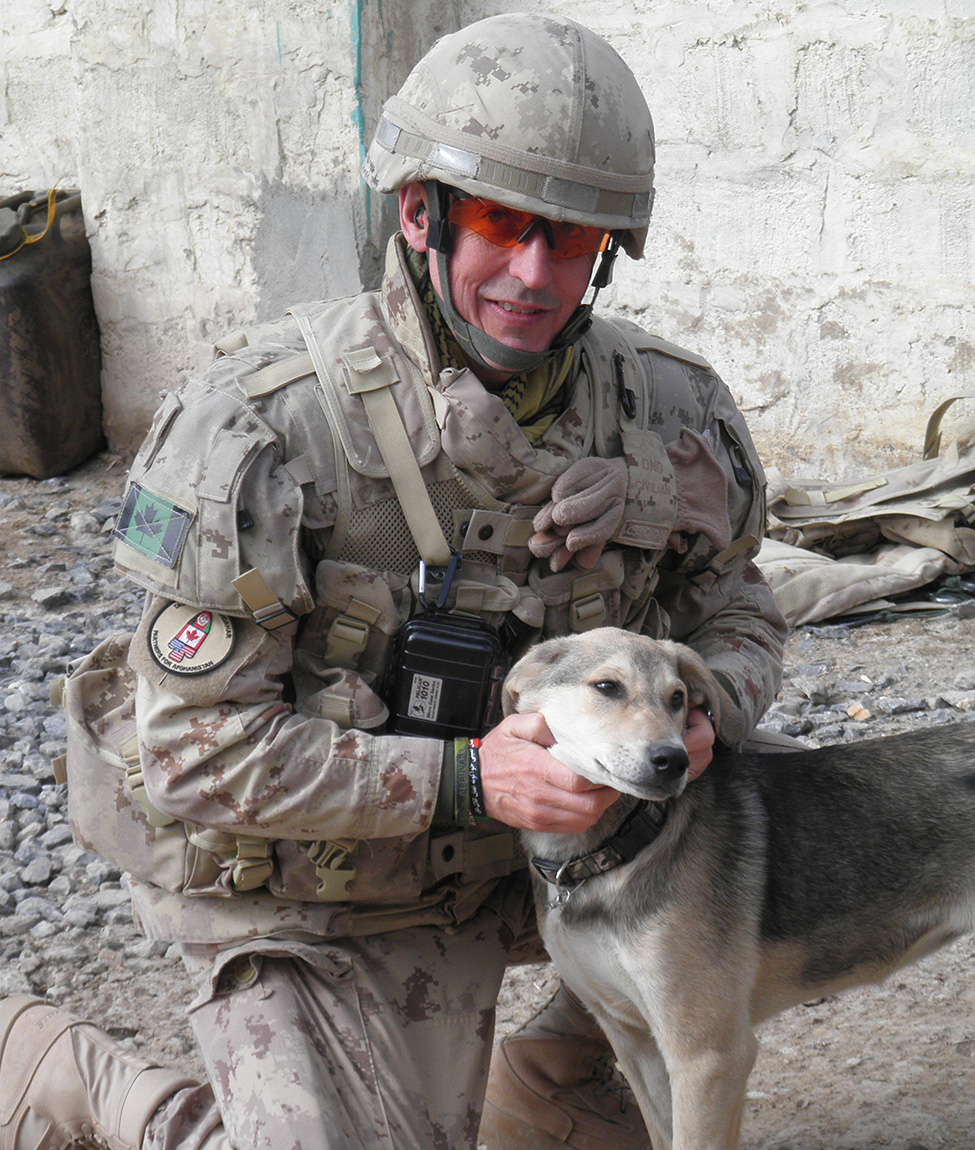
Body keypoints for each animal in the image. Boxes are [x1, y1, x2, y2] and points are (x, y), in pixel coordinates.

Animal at [503, 630, 975, 1150]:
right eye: (607, 686)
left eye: (677, 698)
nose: (674, 761)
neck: (617, 850)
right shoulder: (632, 1041)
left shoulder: (709, 1057)